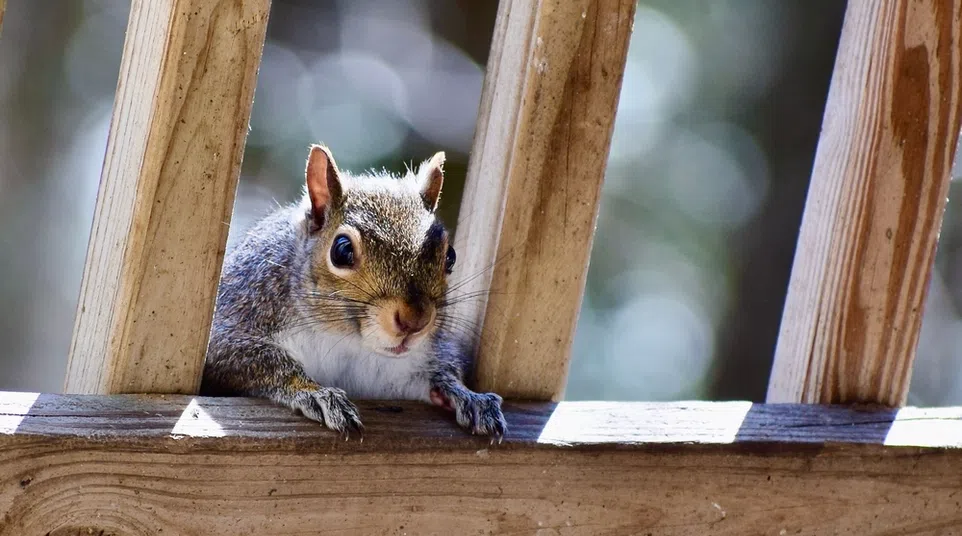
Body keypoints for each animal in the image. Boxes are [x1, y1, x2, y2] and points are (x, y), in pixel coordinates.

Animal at [200, 144, 507, 440]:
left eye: (450, 257)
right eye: (342, 250)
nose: (415, 321)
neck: (348, 341)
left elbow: (437, 374)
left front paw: (465, 394)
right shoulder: (242, 311)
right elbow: (250, 358)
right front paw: (314, 391)